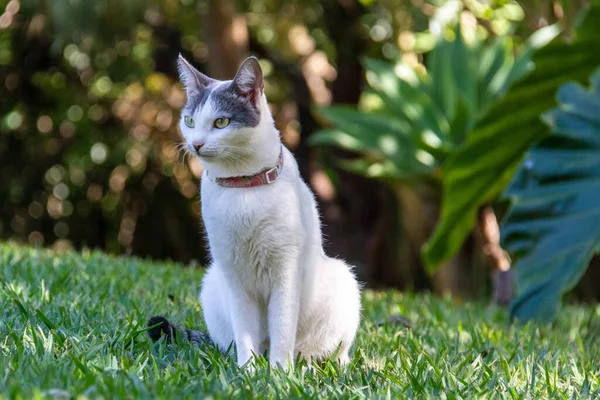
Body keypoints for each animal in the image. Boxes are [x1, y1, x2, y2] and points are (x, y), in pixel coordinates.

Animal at [149, 54, 360, 370]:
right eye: (189, 121)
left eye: (221, 122)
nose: (196, 144)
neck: (243, 188)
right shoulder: (233, 274)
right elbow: (245, 331)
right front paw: (247, 371)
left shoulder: (286, 271)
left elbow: (282, 327)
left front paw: (279, 373)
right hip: (212, 281)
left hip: (343, 279)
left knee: (330, 351)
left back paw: (315, 364)